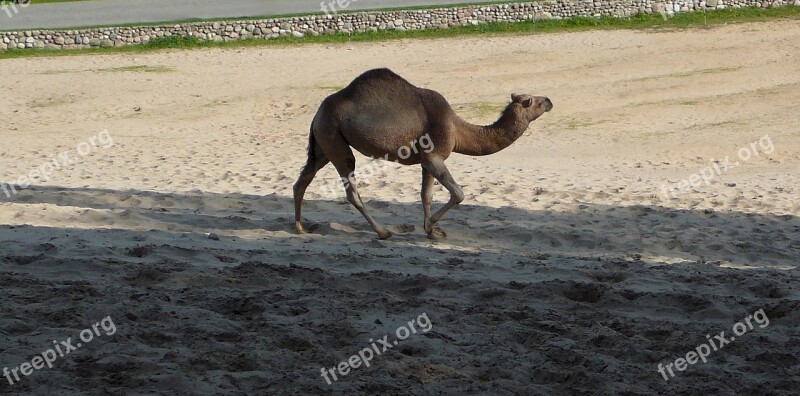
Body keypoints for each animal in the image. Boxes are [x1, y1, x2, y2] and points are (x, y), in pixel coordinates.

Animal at [292, 68, 552, 240]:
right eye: (534, 102)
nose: (550, 100)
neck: (457, 129)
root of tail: (316, 115)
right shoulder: (434, 156)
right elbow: (458, 193)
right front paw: (432, 226)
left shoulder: (426, 161)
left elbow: (426, 195)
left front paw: (432, 230)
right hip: (334, 137)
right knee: (350, 187)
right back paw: (383, 232)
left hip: (324, 142)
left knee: (303, 180)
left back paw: (300, 228)